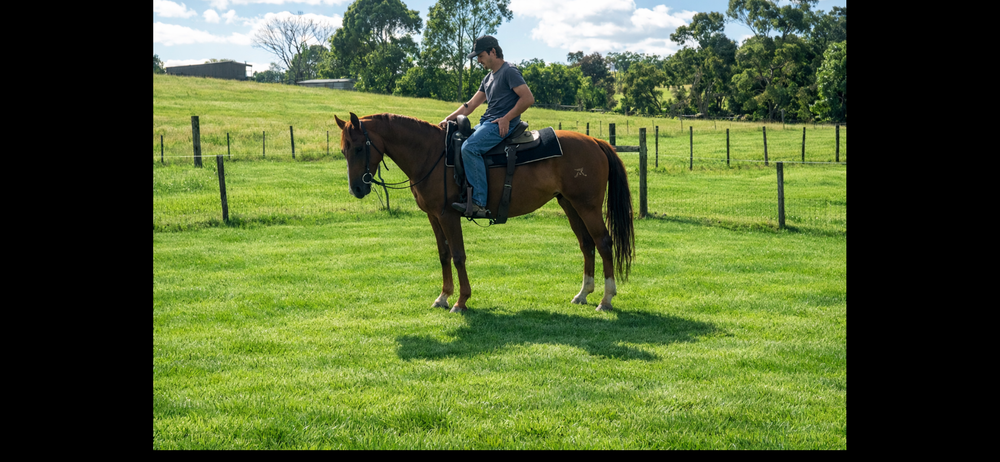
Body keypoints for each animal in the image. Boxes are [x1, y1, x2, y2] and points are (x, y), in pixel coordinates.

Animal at [334, 112, 634, 313]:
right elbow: (443, 255)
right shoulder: (433, 216)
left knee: (603, 243)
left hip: (588, 206)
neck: (432, 155)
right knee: (586, 245)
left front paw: (460, 301)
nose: (357, 188)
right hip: (570, 204)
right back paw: (583, 294)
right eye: (343, 150)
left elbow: (458, 256)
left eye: (359, 147)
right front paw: (443, 297)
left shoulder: (448, 215)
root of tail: (595, 141)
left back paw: (606, 299)